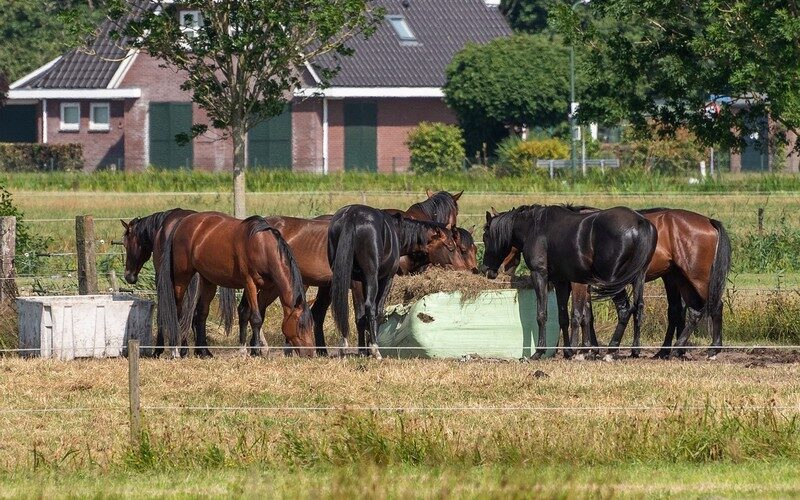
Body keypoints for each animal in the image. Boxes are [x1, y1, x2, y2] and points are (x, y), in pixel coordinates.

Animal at [157, 213, 316, 358]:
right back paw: (176, 351)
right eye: (300, 325)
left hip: (207, 280)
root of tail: (182, 222)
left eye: (311, 325)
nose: (310, 354)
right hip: (181, 278)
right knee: (178, 312)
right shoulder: (250, 283)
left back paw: (203, 352)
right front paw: (256, 352)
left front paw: (244, 351)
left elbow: (244, 313)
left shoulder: (259, 287)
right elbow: (256, 318)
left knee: (200, 313)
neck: (262, 246)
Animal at [328, 205, 460, 358]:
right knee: (370, 307)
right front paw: (372, 348)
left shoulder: (357, 282)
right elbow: (378, 311)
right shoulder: (386, 278)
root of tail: (353, 215)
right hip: (372, 277)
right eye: (451, 247)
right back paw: (376, 350)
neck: (397, 232)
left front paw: (363, 351)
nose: (461, 269)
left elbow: (359, 316)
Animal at [482, 206, 656, 360]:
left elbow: (542, 314)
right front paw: (568, 351)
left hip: (612, 282)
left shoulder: (540, 275)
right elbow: (563, 317)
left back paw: (611, 351)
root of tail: (640, 221)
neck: (535, 227)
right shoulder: (561, 281)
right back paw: (633, 350)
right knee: (638, 309)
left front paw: (539, 352)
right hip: (637, 279)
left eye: (485, 236)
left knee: (624, 310)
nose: (486, 270)